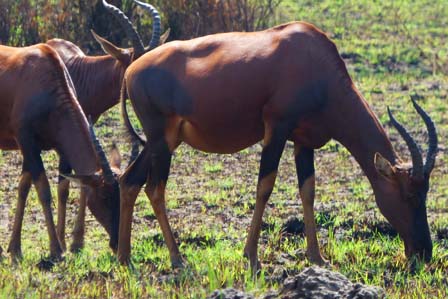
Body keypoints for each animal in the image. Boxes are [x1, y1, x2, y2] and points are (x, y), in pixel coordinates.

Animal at [0, 43, 121, 262]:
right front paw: (56, 250)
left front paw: (15, 248)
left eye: (121, 195)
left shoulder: (39, 148)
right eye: (104, 196)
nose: (116, 244)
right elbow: (43, 190)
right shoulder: (27, 143)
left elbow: (26, 187)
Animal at [44, 0, 168, 253]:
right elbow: (64, 188)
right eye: (134, 63)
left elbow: (84, 184)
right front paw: (64, 242)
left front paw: (77, 241)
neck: (81, 73)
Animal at [117, 20, 440, 270]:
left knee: (129, 180)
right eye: (409, 194)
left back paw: (124, 258)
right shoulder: (276, 129)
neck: (312, 58)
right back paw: (176, 258)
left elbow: (308, 191)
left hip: (162, 142)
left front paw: (317, 257)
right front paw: (251, 257)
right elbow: (265, 186)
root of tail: (130, 71)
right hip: (161, 140)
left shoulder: (303, 140)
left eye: (426, 192)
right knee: (154, 188)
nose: (423, 253)